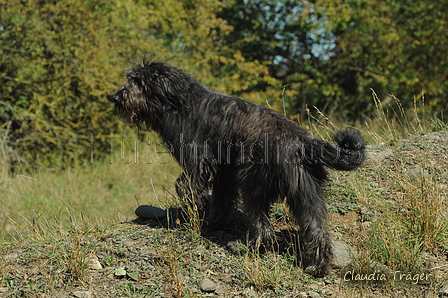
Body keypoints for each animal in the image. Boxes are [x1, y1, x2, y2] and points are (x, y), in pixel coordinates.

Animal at [111, 60, 364, 278]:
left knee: (262, 225)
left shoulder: (199, 161)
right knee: (317, 229)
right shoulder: (224, 171)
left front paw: (197, 210)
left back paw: (247, 247)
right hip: (306, 192)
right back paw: (318, 267)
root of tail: (299, 139)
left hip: (254, 184)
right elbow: (222, 198)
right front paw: (215, 219)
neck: (179, 103)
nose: (114, 97)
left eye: (139, 82)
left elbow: (189, 187)